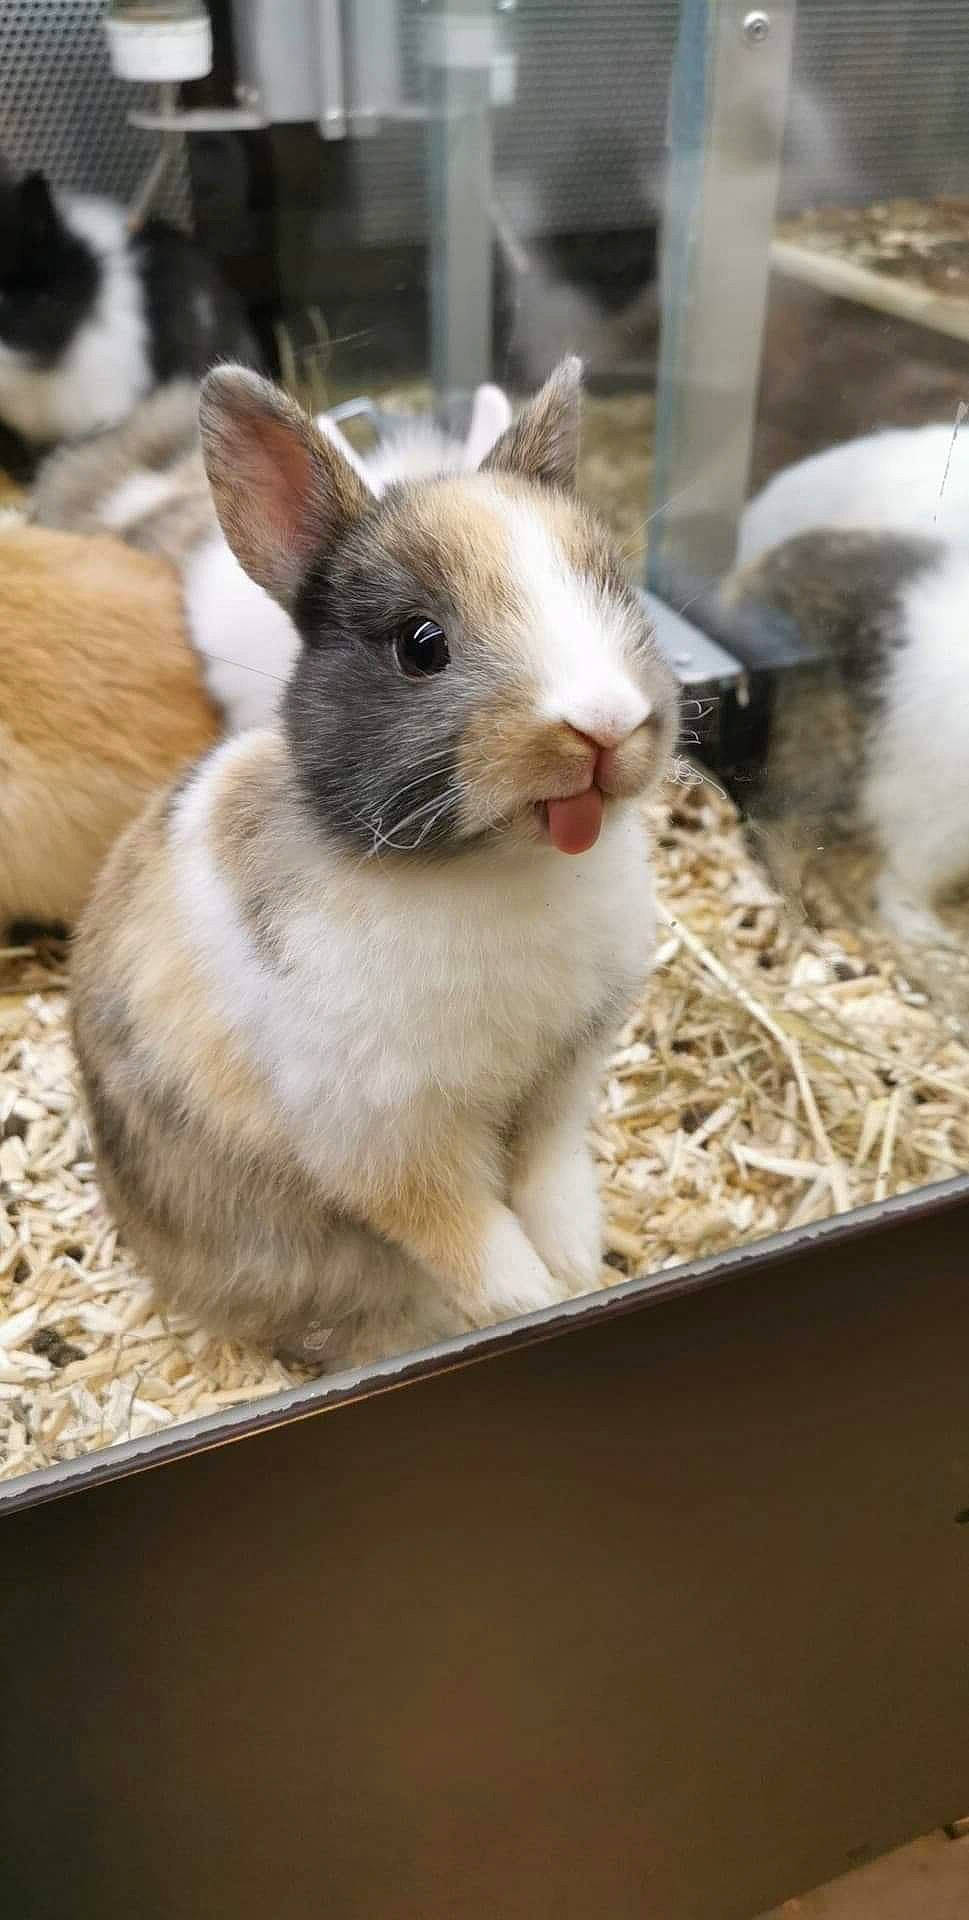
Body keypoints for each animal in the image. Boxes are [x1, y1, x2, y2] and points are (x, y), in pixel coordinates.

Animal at [71, 358, 677, 1371]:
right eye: (420, 644)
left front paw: (578, 1261)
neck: (497, 869)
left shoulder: (562, 1083)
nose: (602, 724)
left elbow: (551, 1179)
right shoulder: (388, 1142)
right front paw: (531, 1300)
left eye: (614, 592)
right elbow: (469, 1233)